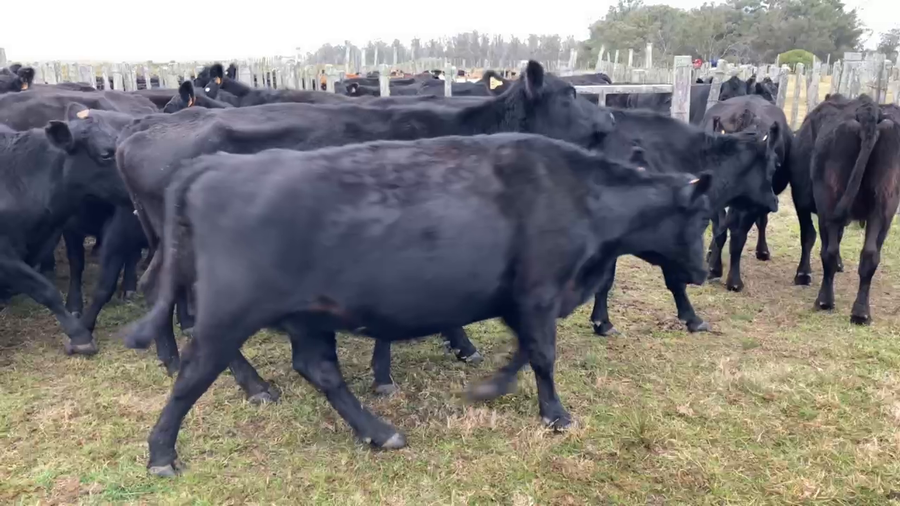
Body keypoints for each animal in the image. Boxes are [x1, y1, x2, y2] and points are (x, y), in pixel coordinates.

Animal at [116, 61, 616, 400]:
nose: (610, 120)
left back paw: (171, 357)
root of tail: (137, 135)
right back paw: (252, 384)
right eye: (571, 92)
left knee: (154, 284)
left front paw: (454, 345)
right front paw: (402, 367)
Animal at [123, 133, 713, 476]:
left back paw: (379, 432)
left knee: (319, 370)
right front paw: (556, 415)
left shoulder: (521, 297)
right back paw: (162, 454)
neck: (577, 194)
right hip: (229, 311)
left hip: (306, 314)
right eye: (704, 217)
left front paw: (493, 385)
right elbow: (543, 355)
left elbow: (525, 350)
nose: (705, 271)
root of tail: (213, 165)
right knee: (194, 373)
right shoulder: (540, 290)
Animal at [809, 95, 899, 324]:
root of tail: (870, 112)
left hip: (828, 199)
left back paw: (825, 301)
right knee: (869, 254)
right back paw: (861, 312)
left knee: (830, 251)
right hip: (885, 205)